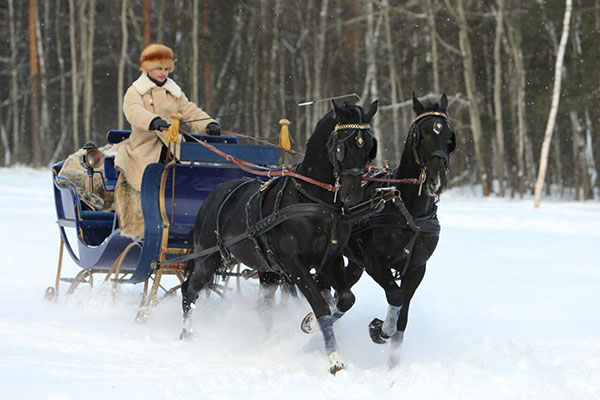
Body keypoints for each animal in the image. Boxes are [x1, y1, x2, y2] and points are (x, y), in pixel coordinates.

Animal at [180, 99, 380, 372]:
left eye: (369, 146)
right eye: (341, 145)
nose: (352, 194)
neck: (313, 200)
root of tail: (214, 193)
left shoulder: (331, 260)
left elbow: (345, 299)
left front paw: (309, 324)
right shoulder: (294, 265)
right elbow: (321, 305)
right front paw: (334, 359)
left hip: (268, 270)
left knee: (263, 308)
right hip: (208, 258)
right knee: (190, 291)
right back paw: (186, 334)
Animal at [302, 93, 458, 366]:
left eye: (449, 135)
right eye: (422, 133)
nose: (436, 180)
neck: (409, 211)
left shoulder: (417, 268)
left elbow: (403, 316)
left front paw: (393, 362)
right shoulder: (375, 263)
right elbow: (395, 296)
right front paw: (379, 330)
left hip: (353, 261)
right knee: (325, 286)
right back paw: (315, 323)